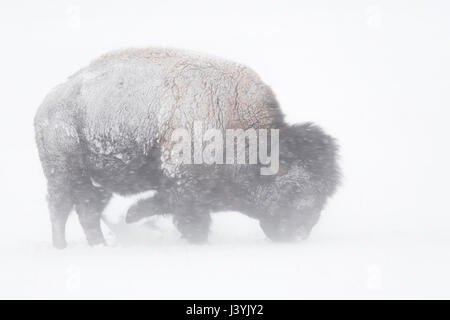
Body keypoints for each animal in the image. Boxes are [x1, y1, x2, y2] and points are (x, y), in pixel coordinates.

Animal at [35, 47, 340, 249]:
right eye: (296, 189)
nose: (299, 233)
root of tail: (47, 105)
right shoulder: (184, 182)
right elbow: (188, 215)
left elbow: (161, 203)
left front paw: (132, 215)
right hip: (63, 171)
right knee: (62, 207)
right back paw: (64, 246)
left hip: (91, 180)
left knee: (86, 208)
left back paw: (98, 245)